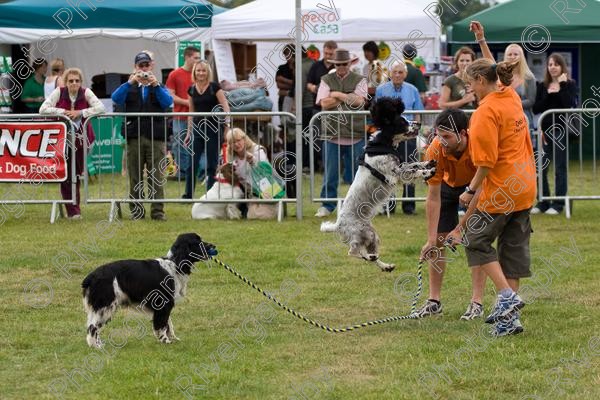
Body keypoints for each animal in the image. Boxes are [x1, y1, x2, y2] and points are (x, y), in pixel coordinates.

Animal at [82, 233, 216, 348]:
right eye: (197, 242)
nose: (214, 246)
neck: (174, 264)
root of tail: (91, 277)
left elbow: (168, 324)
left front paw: (172, 339)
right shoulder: (164, 303)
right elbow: (162, 325)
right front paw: (165, 340)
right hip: (106, 307)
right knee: (92, 327)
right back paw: (97, 346)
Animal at [322, 97, 434, 272]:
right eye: (402, 121)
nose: (418, 123)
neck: (383, 144)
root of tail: (337, 226)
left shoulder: (399, 167)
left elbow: (414, 164)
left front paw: (428, 163)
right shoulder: (394, 174)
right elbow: (413, 171)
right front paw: (427, 172)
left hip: (371, 234)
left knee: (368, 255)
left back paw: (385, 265)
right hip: (357, 233)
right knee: (353, 252)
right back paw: (369, 257)